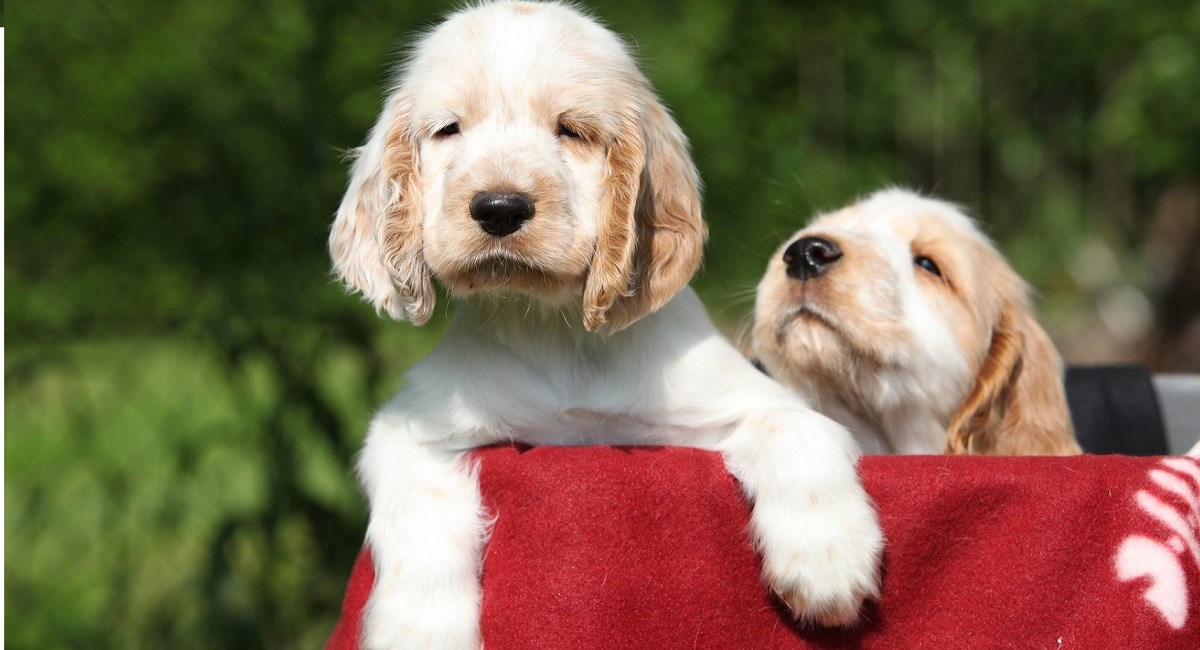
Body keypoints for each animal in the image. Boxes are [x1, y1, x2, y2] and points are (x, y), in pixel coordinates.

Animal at [328, 2, 883, 647]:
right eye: (448, 130)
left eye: (572, 130)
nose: (499, 208)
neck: (556, 330)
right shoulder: (409, 428)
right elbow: (416, 504)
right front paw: (417, 629)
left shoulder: (751, 399)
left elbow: (792, 429)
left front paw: (828, 560)